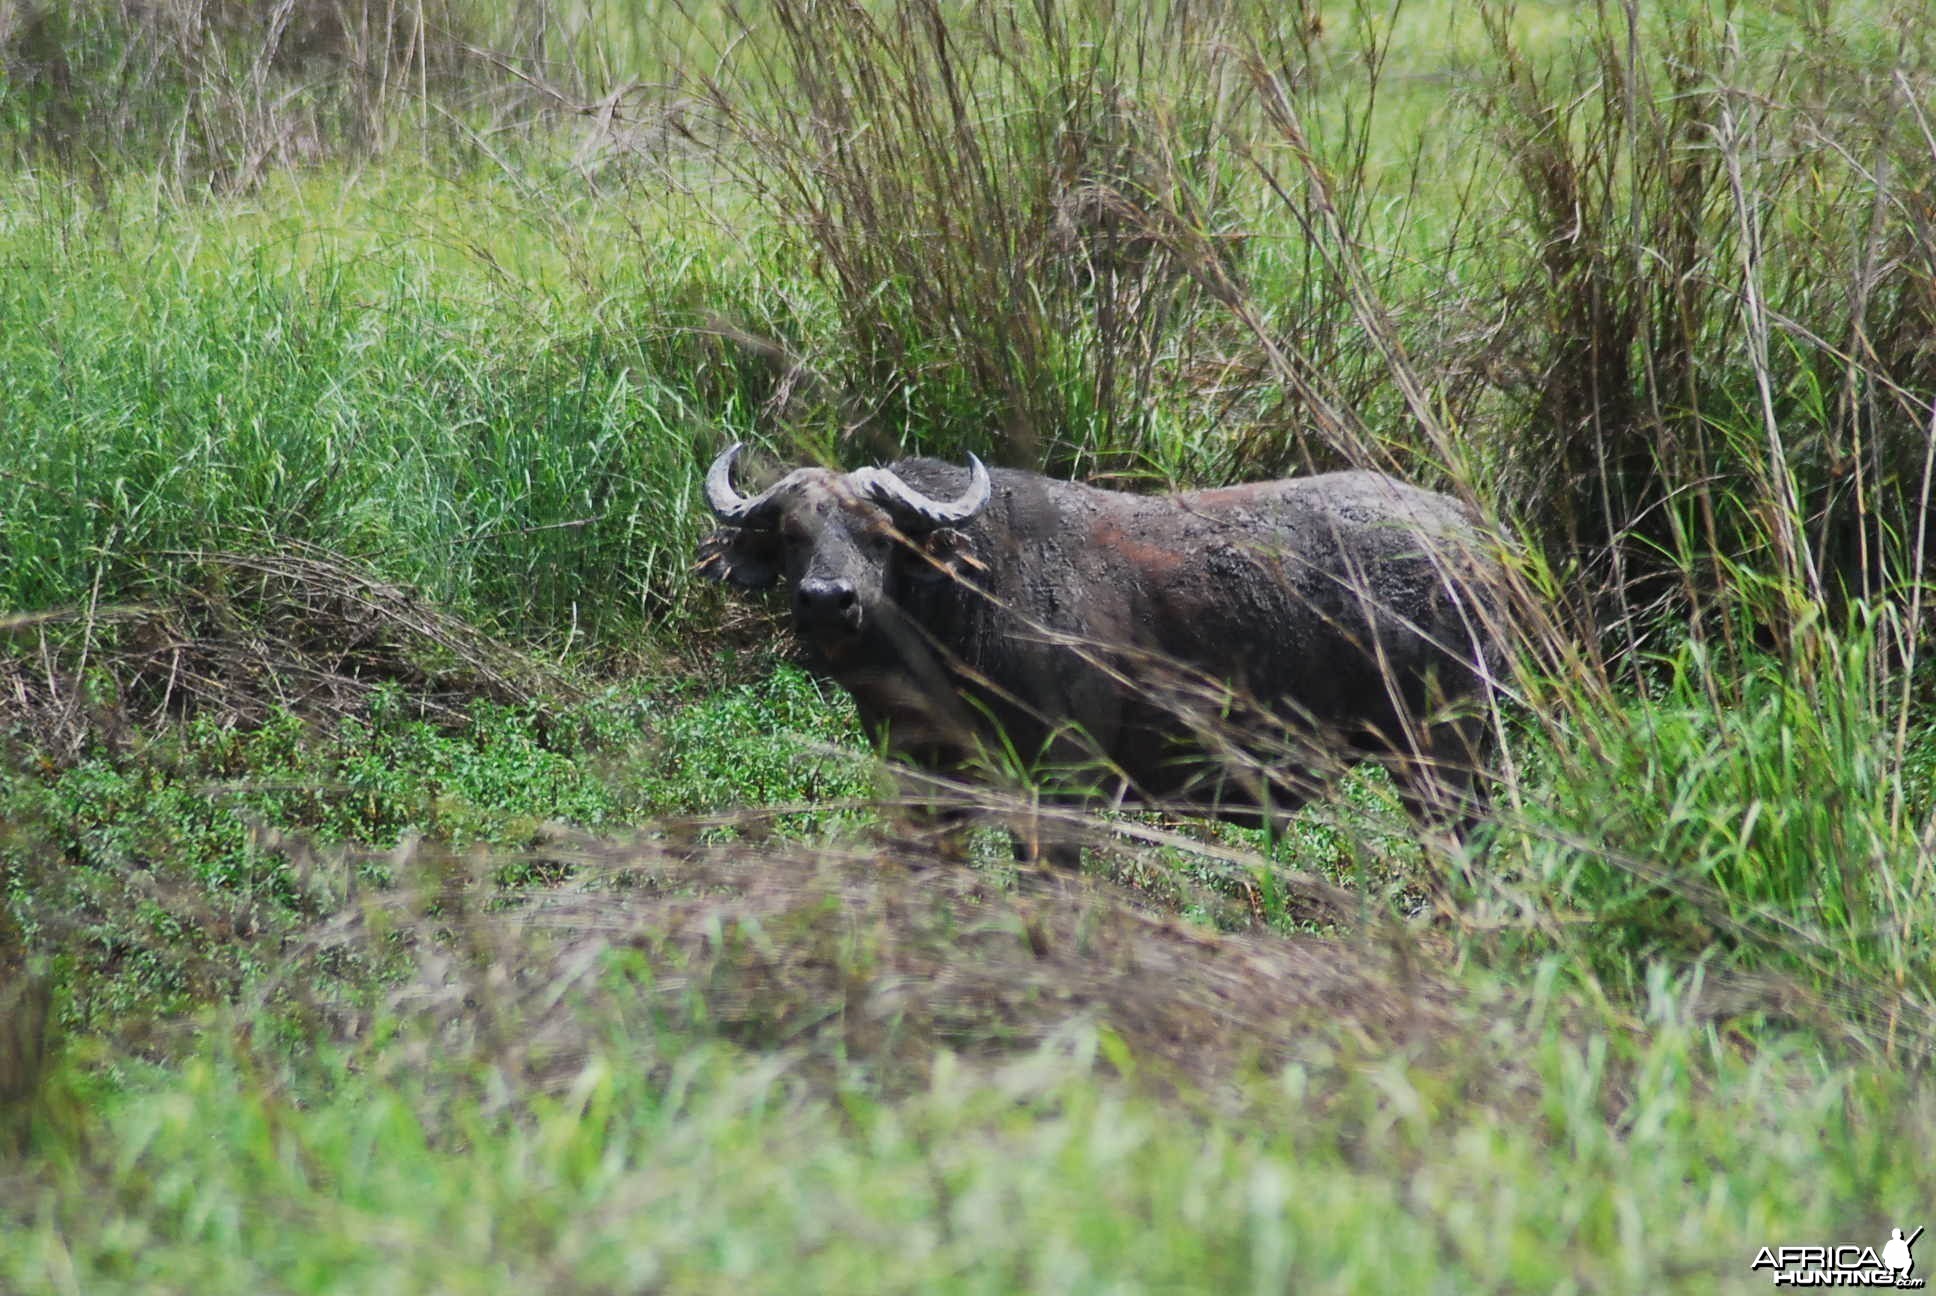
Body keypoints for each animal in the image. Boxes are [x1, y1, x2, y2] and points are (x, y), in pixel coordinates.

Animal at [700, 441, 1510, 860]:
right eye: (793, 535)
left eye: (881, 536)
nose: (826, 600)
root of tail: (1471, 536)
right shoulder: (924, 780)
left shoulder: (1066, 783)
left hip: (1440, 759)